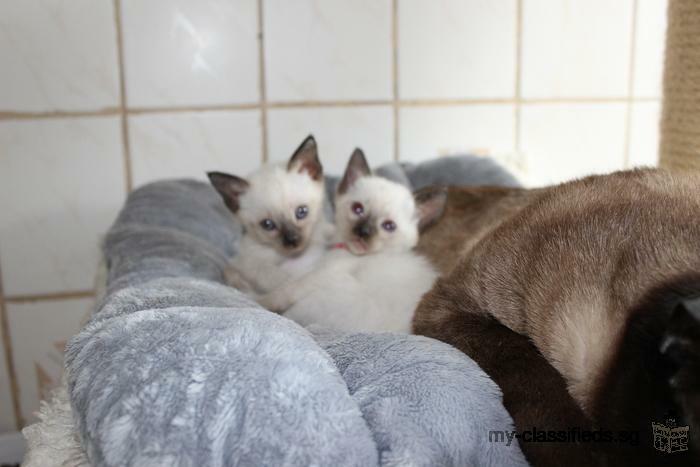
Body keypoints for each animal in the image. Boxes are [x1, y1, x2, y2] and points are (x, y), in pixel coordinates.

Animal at [258, 149, 448, 332]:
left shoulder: (324, 274)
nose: (363, 232)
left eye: (389, 226)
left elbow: (287, 290)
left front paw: (262, 302)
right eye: (358, 209)